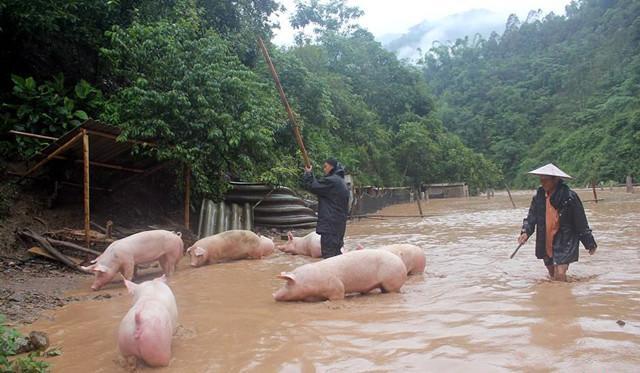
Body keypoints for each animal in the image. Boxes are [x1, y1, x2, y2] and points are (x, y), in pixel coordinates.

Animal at [274, 248, 404, 300]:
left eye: (288, 283)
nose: (273, 295)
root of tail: (400, 261)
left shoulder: (336, 286)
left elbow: (339, 294)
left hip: (391, 281)